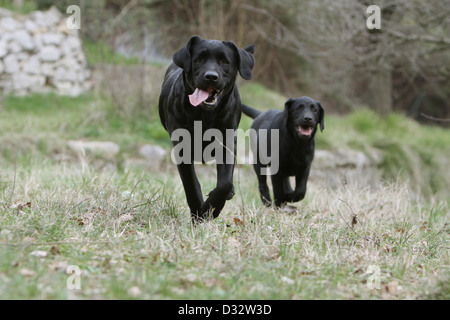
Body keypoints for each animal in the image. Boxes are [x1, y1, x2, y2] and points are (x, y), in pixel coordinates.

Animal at [159, 35, 255, 220]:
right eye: (198, 60)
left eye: (224, 61)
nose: (211, 76)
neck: (204, 115)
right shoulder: (182, 149)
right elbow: (191, 184)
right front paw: (199, 212)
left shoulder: (227, 144)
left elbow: (225, 183)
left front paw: (213, 208)